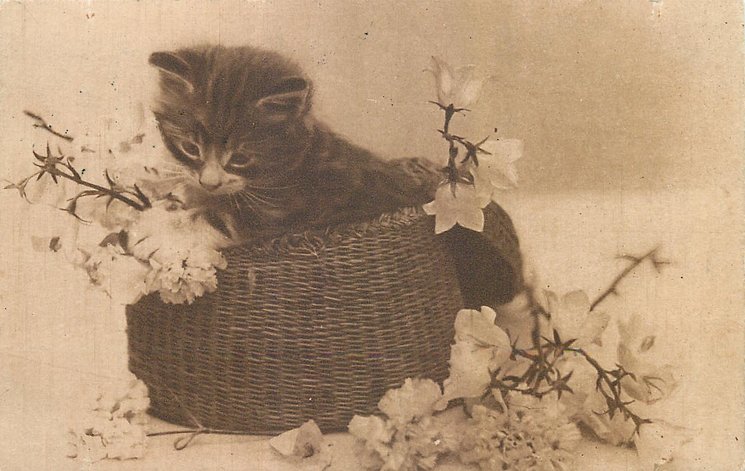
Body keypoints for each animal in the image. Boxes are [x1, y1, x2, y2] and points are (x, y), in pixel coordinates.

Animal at [148, 44, 521, 307]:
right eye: (190, 148)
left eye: (240, 158)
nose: (208, 181)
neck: (292, 161)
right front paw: (182, 193)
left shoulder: (298, 207)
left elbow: (224, 217)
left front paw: (158, 231)